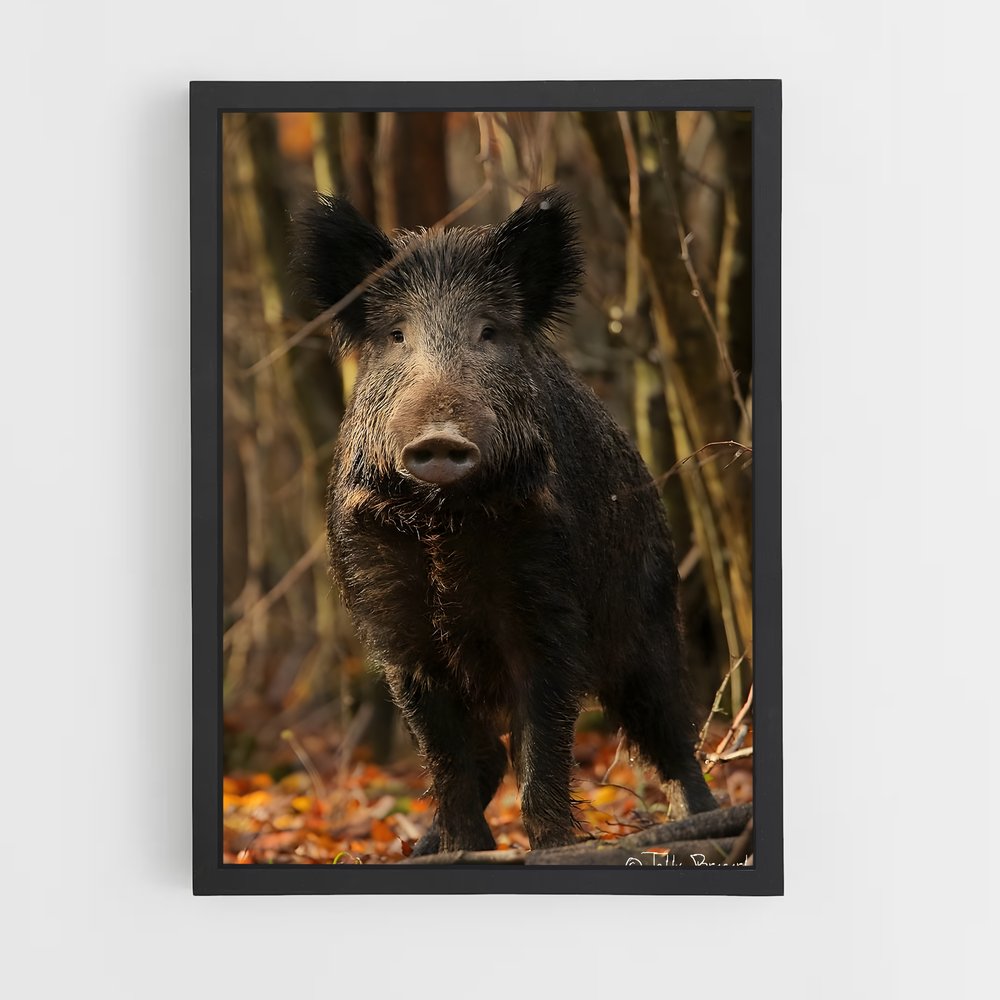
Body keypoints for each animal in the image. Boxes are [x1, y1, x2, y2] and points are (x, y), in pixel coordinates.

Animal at [293, 187, 717, 855]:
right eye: (396, 335)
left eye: (488, 331)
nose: (440, 437)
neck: (445, 525)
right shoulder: (395, 626)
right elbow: (446, 754)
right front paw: (463, 849)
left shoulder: (547, 602)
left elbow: (542, 742)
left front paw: (556, 847)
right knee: (487, 752)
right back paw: (423, 846)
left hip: (649, 609)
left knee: (670, 727)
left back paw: (699, 825)